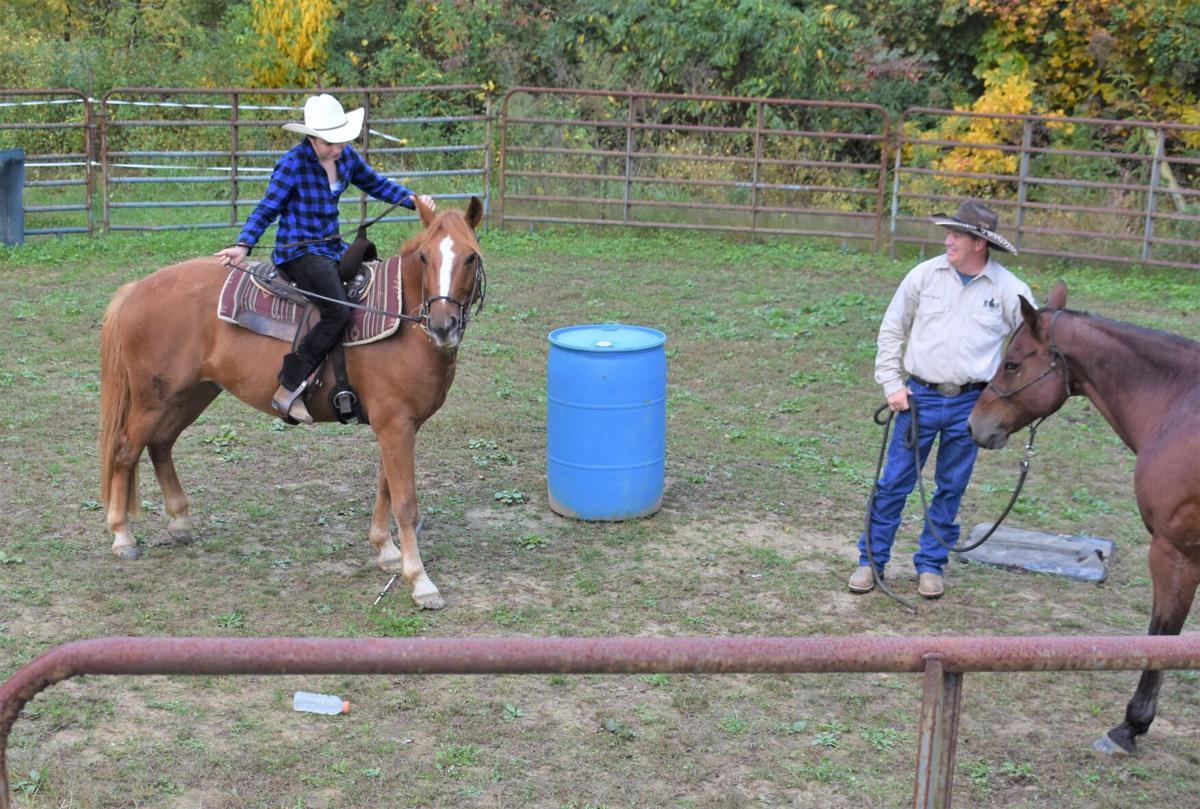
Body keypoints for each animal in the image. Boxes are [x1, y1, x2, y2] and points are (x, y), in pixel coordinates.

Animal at [98, 198, 482, 607]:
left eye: (471, 257)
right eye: (425, 257)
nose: (443, 326)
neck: (402, 320)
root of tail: (136, 289)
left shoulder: (395, 425)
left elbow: (385, 487)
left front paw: (386, 551)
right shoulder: (395, 424)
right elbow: (405, 501)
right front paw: (421, 581)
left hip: (193, 392)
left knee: (160, 444)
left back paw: (180, 522)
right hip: (153, 398)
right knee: (126, 449)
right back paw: (122, 536)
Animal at [964, 280, 1200, 753]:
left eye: (1012, 364)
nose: (975, 424)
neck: (1180, 404)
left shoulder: (1175, 553)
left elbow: (1163, 634)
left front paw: (1130, 726)